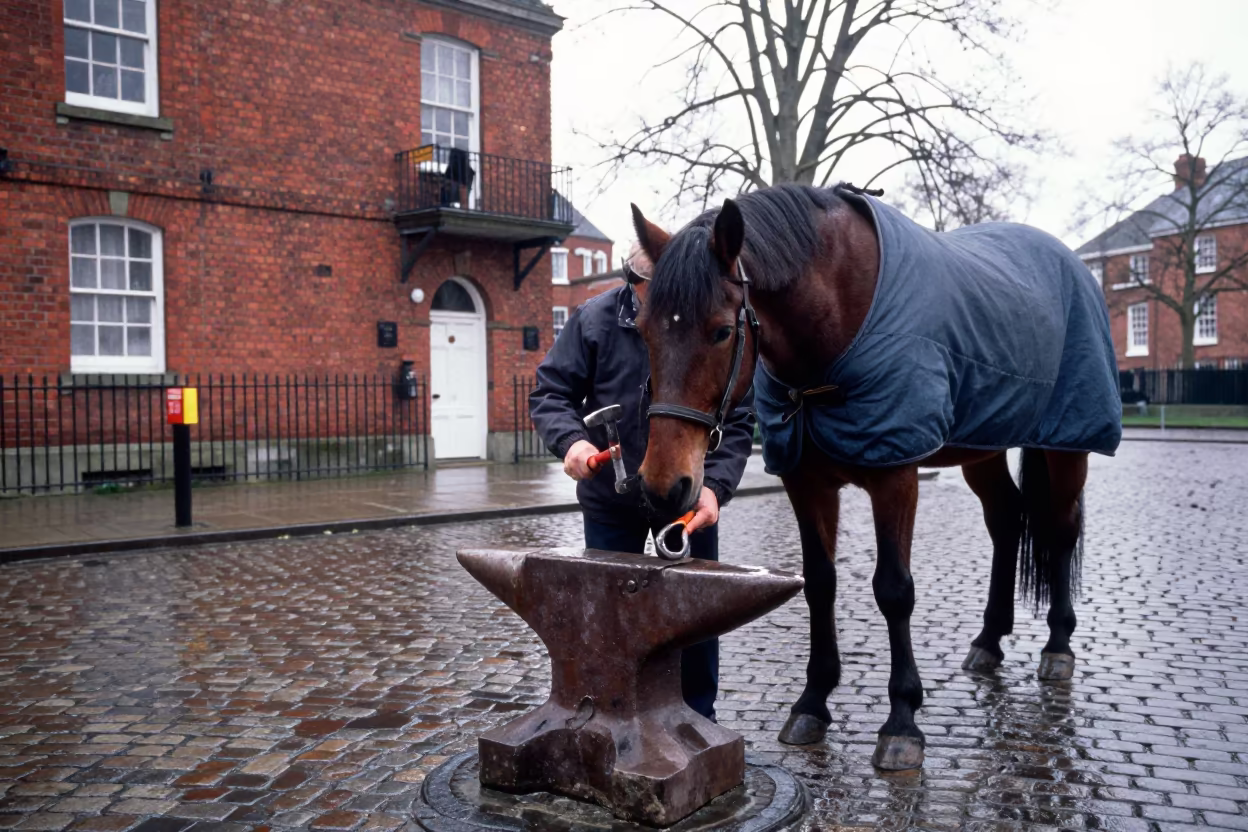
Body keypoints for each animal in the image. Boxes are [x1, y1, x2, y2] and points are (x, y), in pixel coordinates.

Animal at [630, 183, 1122, 771]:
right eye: (643, 330)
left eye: (723, 331)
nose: (663, 486)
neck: (840, 316)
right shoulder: (806, 482)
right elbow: (819, 582)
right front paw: (813, 702)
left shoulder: (896, 477)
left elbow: (894, 590)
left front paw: (903, 719)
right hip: (982, 450)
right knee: (1006, 521)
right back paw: (989, 639)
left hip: (1066, 446)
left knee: (1059, 529)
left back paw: (1058, 646)